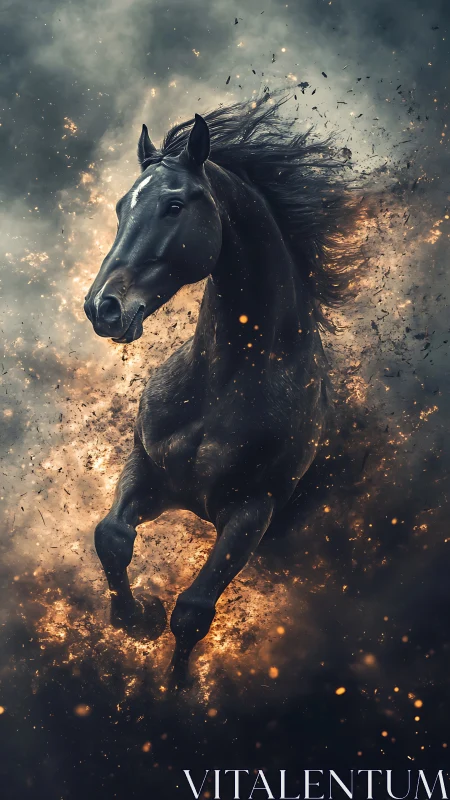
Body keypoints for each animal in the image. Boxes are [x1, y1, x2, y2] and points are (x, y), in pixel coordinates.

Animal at [84, 94, 362, 688]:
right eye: (120, 208)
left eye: (173, 205)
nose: (103, 308)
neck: (220, 389)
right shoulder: (147, 467)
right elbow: (111, 537)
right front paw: (135, 618)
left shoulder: (252, 512)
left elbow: (193, 610)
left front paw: (178, 684)